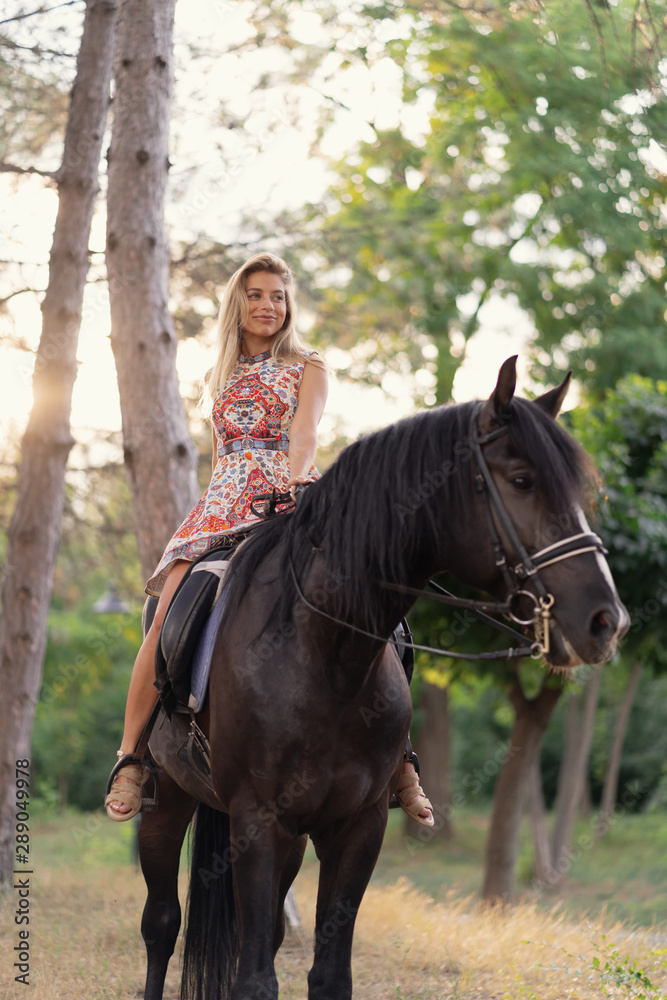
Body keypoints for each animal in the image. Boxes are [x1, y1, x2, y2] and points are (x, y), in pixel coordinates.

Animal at [138, 360, 628, 1000]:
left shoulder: (357, 826)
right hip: (167, 800)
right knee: (160, 925)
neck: (326, 655)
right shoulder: (256, 823)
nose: (605, 621)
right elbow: (254, 977)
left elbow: (329, 974)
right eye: (521, 480)